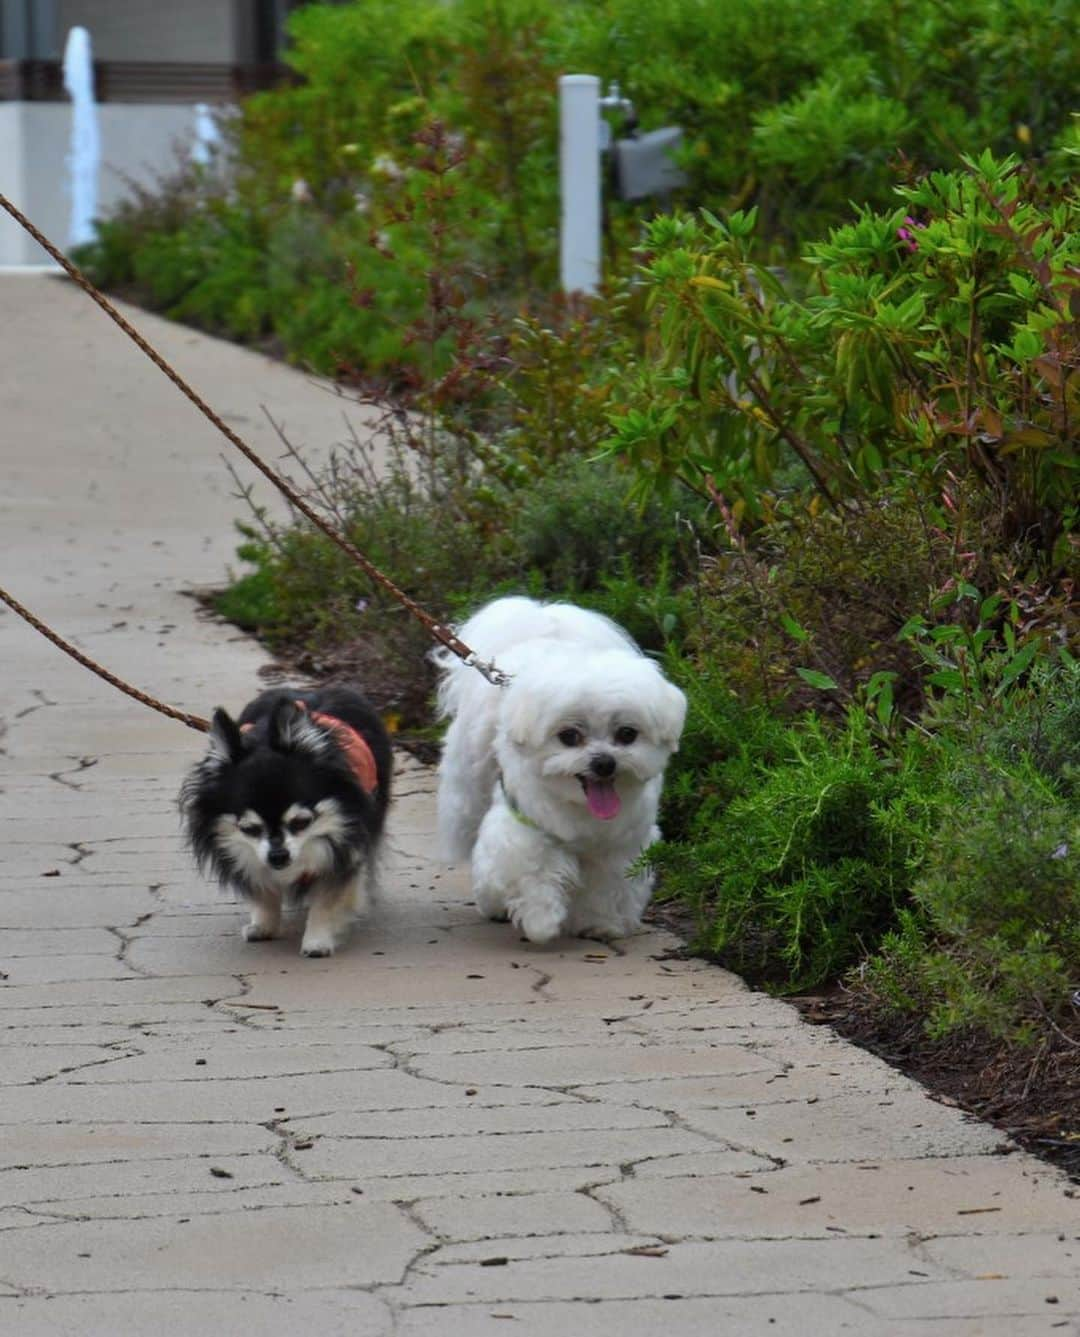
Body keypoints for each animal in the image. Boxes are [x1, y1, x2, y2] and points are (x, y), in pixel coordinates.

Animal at [435, 596, 689, 941]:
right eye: (569, 736)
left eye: (627, 734)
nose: (604, 762)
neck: (581, 809)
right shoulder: (523, 830)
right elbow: (532, 872)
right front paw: (540, 921)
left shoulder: (619, 845)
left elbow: (608, 888)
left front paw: (600, 923)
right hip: (470, 787)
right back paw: (492, 905)